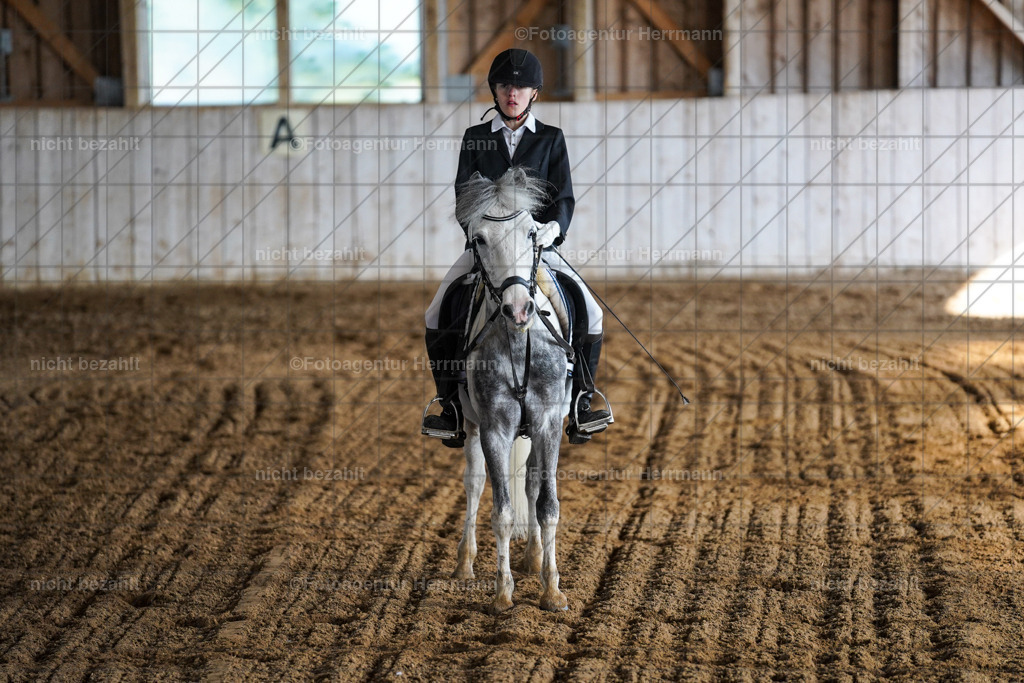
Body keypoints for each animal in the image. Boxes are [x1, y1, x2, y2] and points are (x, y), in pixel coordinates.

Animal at [450, 167, 575, 614]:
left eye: (531, 233)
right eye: (479, 239)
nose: (519, 309)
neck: (519, 339)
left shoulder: (548, 423)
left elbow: (547, 505)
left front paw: (552, 592)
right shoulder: (494, 427)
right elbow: (501, 511)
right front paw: (503, 594)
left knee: (533, 485)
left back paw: (534, 558)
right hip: (470, 427)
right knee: (474, 484)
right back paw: (464, 565)